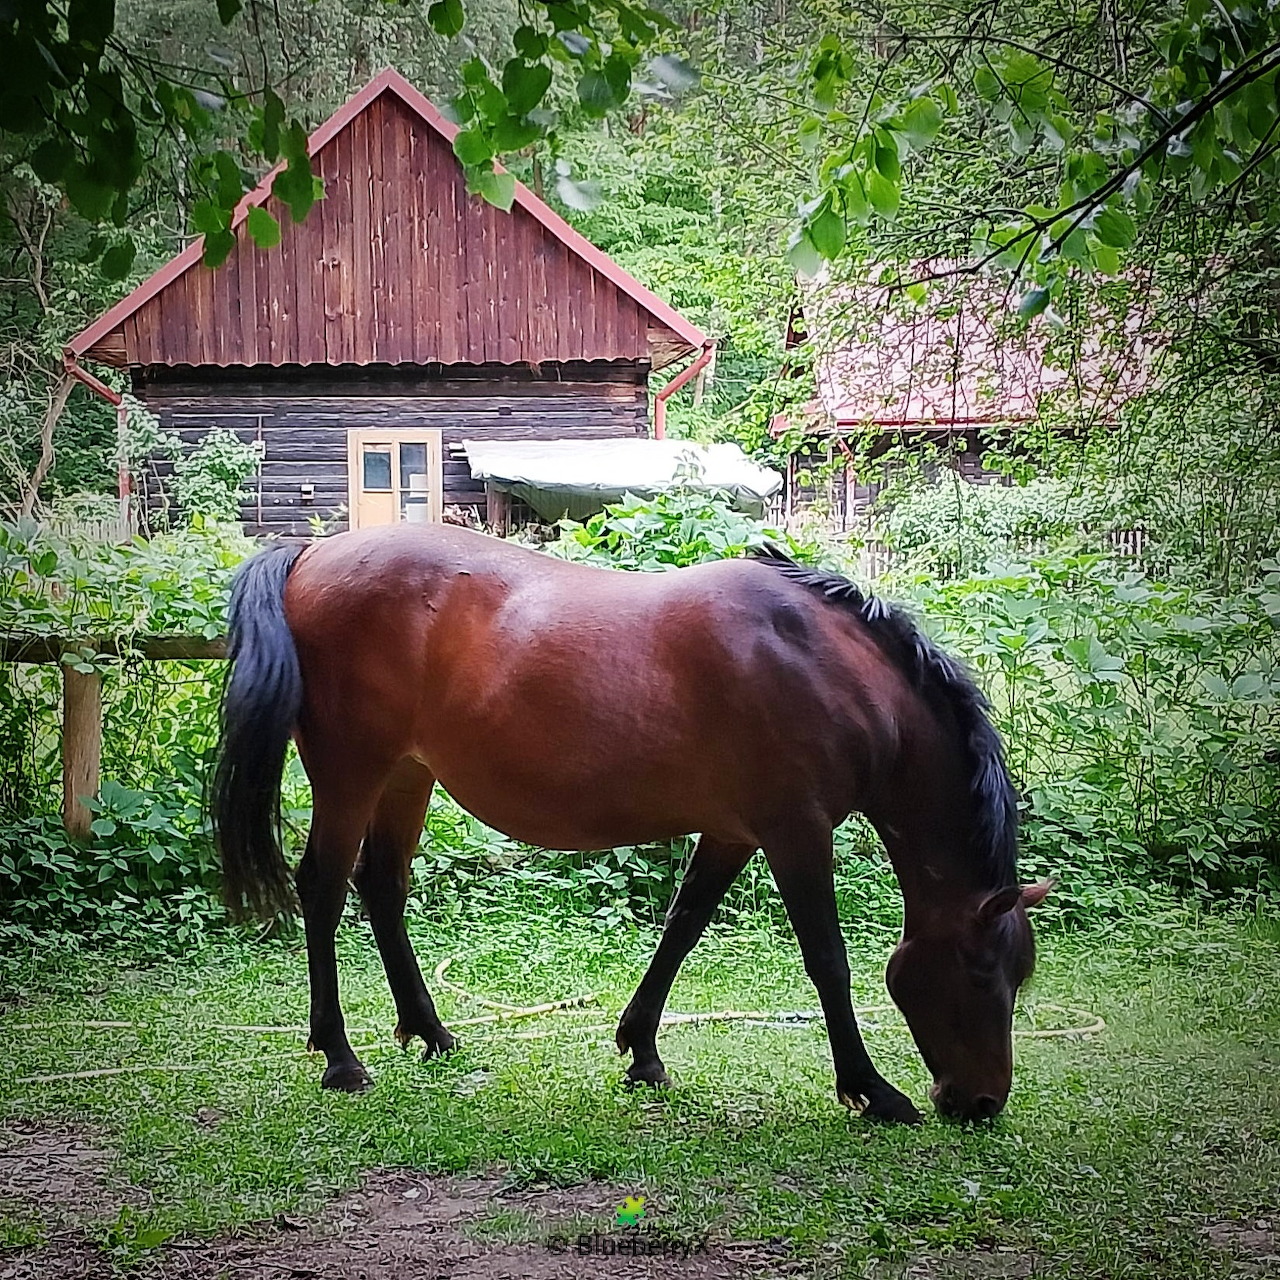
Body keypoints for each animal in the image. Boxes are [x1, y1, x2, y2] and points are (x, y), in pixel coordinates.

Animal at [210, 522, 1050, 1124]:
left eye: (1019, 975)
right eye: (982, 972)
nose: (981, 1103)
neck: (823, 664)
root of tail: (313, 552)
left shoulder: (735, 832)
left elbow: (682, 929)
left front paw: (641, 1050)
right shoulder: (795, 830)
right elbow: (827, 961)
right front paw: (871, 1089)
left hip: (407, 777)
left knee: (382, 888)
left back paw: (433, 1032)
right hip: (352, 773)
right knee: (323, 889)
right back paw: (340, 1057)